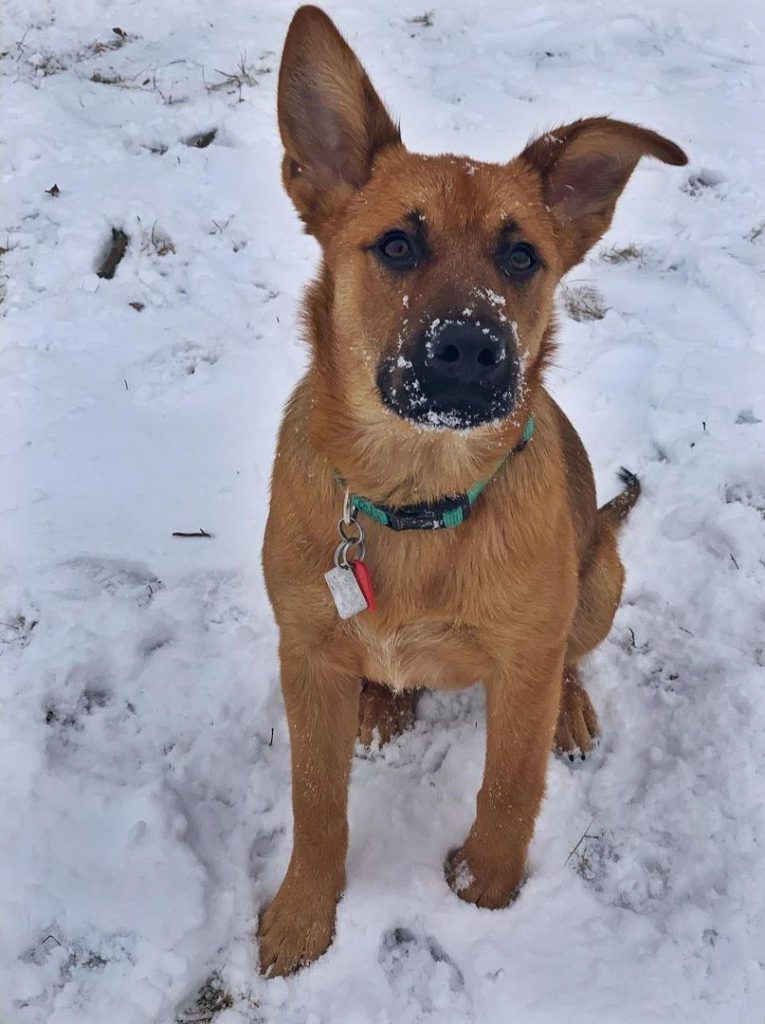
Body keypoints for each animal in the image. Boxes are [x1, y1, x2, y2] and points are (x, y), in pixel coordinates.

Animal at [259, 2, 688, 974]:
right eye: (396, 244)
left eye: (521, 257)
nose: (469, 350)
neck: (417, 498)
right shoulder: (305, 656)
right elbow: (313, 799)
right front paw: (303, 915)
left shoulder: (522, 661)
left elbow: (509, 786)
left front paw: (486, 890)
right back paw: (381, 699)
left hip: (599, 579)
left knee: (572, 655)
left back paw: (570, 710)